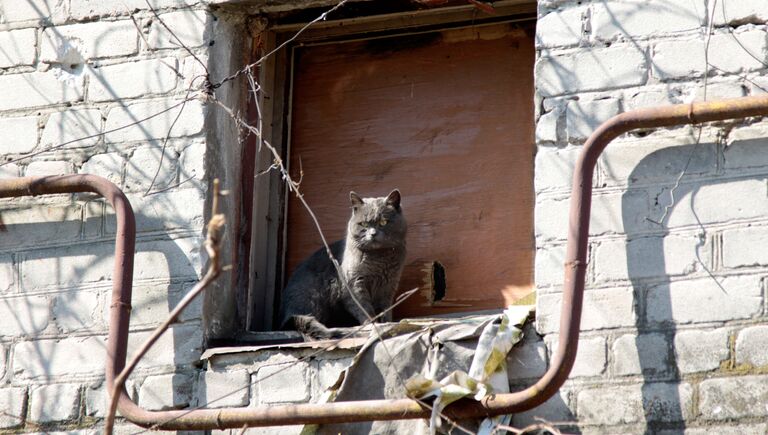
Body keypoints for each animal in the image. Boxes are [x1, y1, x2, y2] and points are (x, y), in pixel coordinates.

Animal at [278, 190, 408, 340]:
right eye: (364, 224)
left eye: (383, 222)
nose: (373, 234)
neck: (378, 259)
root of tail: (286, 316)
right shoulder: (353, 285)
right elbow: (364, 308)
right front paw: (372, 325)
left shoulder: (388, 286)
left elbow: (385, 309)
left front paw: (386, 323)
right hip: (313, 296)